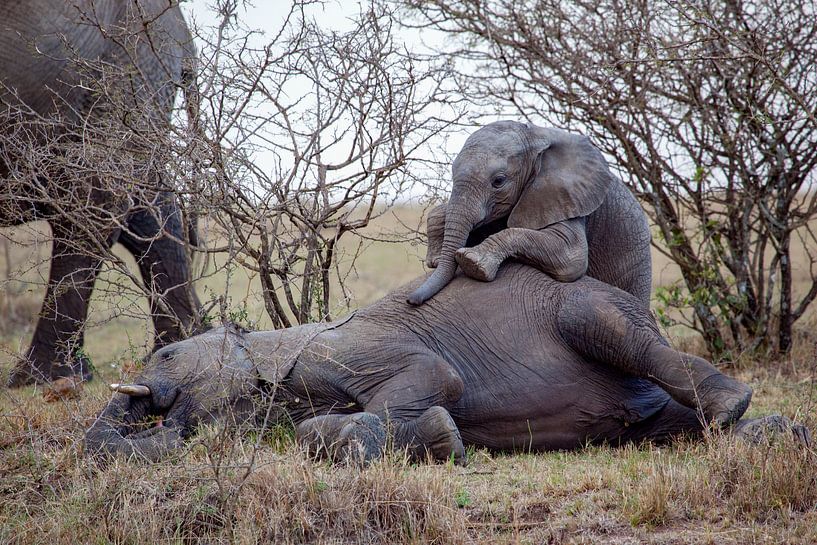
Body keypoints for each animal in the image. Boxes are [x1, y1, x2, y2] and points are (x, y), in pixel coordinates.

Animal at [83, 262, 799, 464]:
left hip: (590, 305)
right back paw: (771, 435)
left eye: (166, 352)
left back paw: (733, 407)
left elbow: (435, 378)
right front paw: (435, 438)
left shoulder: (347, 350)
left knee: (610, 330)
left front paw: (431, 439)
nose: (148, 397)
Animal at [408, 121, 652, 307]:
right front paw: (437, 257)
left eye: (498, 181)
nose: (412, 301)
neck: (534, 136)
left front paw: (472, 262)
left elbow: (572, 258)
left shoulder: (567, 198)